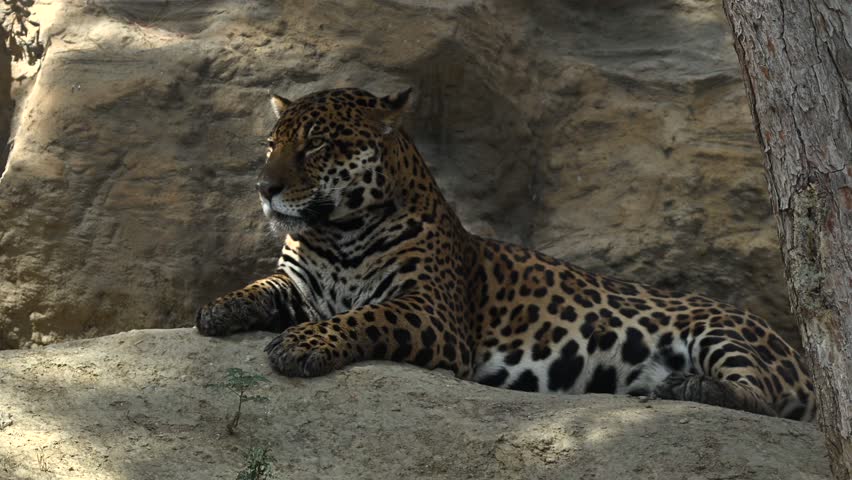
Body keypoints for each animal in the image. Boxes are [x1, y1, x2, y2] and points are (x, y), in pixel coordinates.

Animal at [196, 87, 816, 421]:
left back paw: (689, 387)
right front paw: (217, 308)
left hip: (723, 331)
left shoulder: (431, 312)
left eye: (317, 145)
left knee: (762, 397)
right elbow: (259, 288)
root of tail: (799, 355)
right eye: (272, 145)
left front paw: (301, 344)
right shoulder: (298, 285)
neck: (337, 232)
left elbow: (365, 316)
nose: (264, 188)